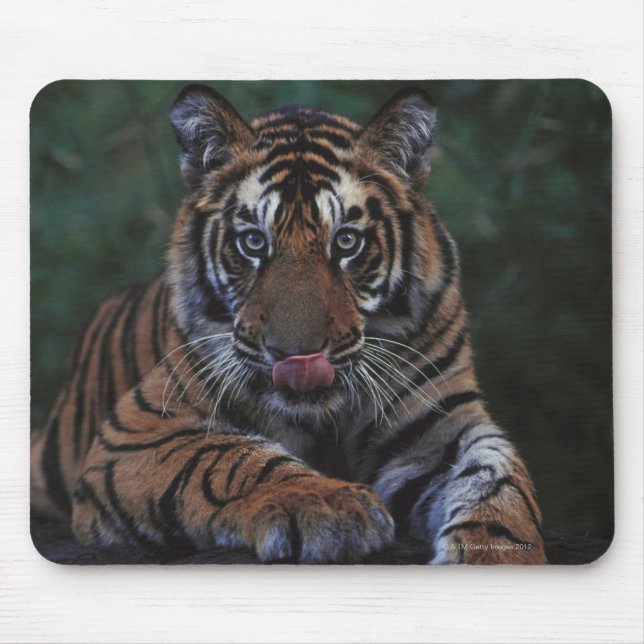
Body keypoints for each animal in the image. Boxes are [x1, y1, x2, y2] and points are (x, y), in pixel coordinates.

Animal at [31, 84, 547, 564]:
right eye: (254, 242)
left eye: (346, 242)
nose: (298, 356)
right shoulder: (137, 431)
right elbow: (227, 456)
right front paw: (327, 505)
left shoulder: (438, 429)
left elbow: (498, 479)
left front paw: (497, 556)